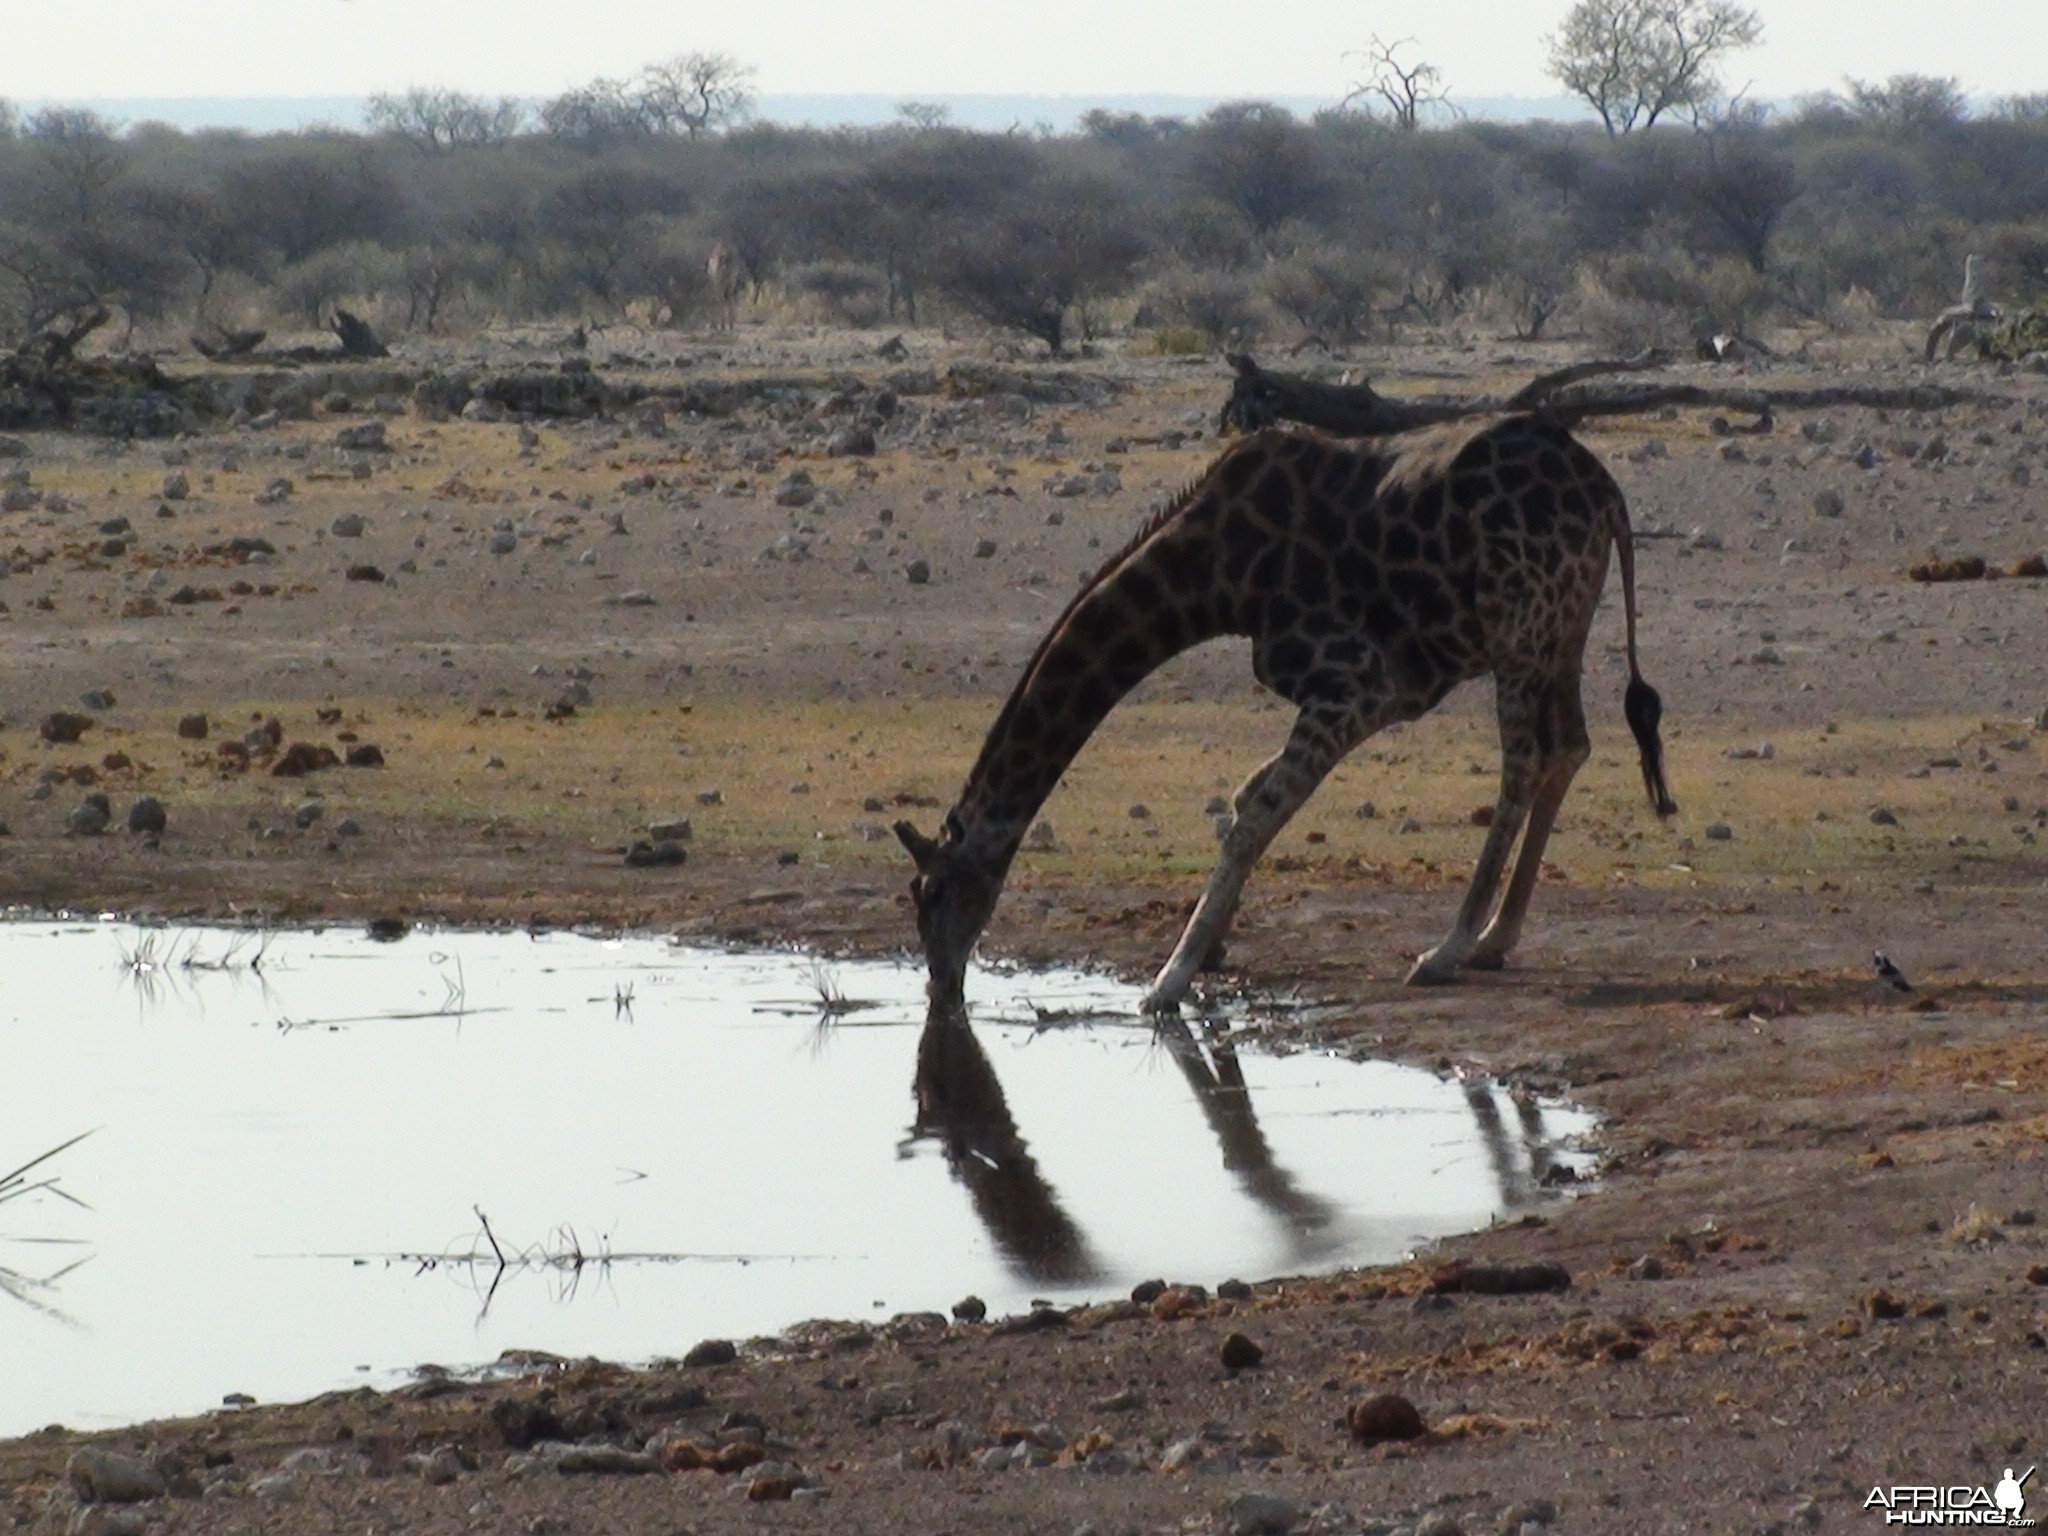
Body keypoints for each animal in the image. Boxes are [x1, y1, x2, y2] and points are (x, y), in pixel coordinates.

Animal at [901, 409, 1679, 1015]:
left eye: (932, 891)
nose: (940, 985)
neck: (1214, 576)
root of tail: (1604, 489)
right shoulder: (1382, 693)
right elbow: (1246, 799)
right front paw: (1212, 947)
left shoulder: (1356, 684)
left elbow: (1257, 816)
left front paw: (1168, 980)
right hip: (1561, 628)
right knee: (1568, 746)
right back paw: (1495, 940)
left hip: (1519, 629)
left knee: (1523, 763)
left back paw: (1448, 948)